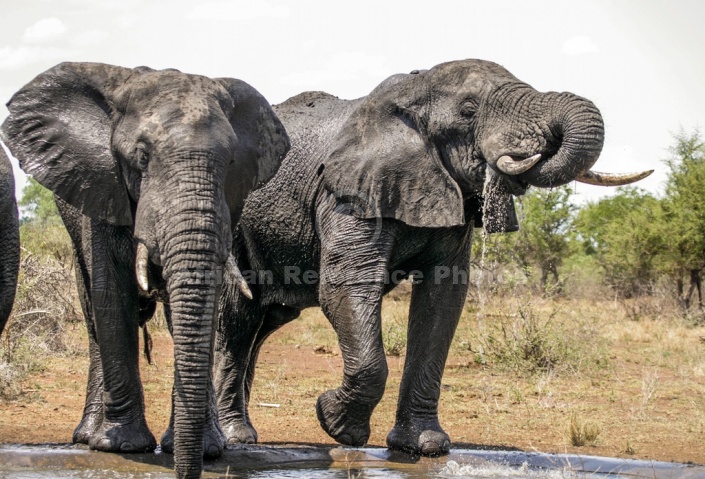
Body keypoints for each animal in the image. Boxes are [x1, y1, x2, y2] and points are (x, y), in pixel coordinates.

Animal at [1, 62, 288, 479]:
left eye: (231, 162)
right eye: (140, 157)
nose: (188, 470)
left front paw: (208, 450)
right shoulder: (101, 188)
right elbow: (112, 299)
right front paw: (124, 446)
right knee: (92, 315)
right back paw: (89, 436)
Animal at [213, 59, 648, 458]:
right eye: (469, 110)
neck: (412, 92)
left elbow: (442, 299)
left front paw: (424, 446)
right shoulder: (348, 192)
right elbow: (348, 282)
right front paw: (337, 424)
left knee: (263, 322)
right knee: (239, 318)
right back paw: (237, 436)